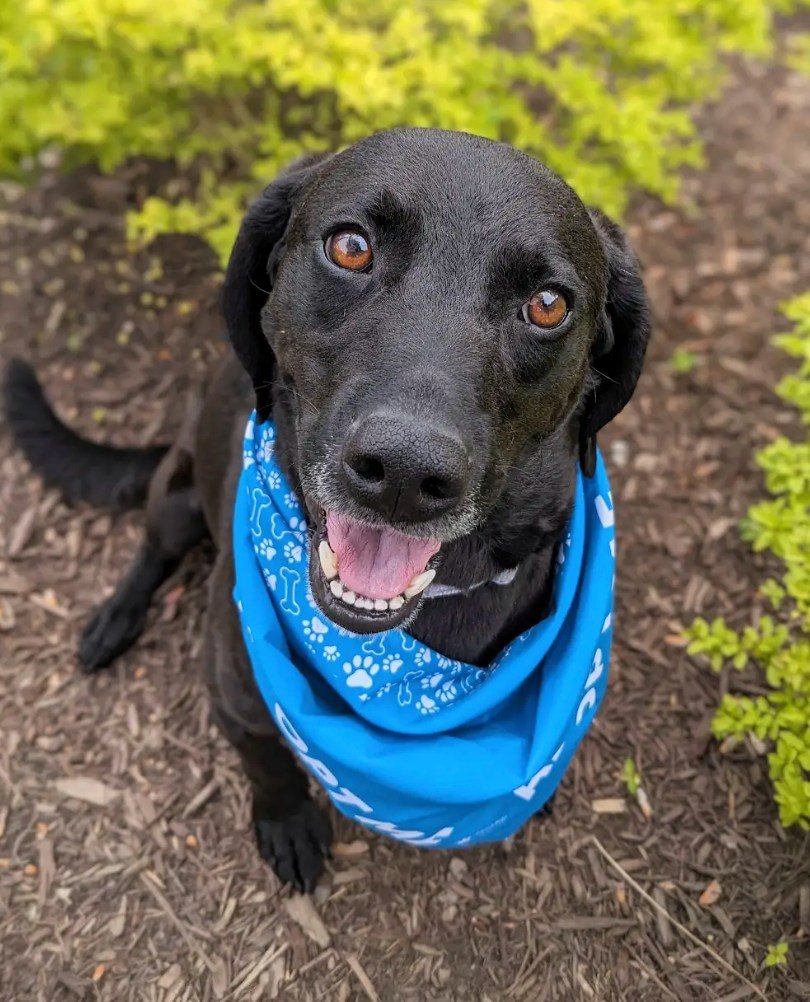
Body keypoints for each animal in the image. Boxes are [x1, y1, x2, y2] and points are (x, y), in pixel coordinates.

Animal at [3, 129, 649, 889]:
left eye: (549, 304)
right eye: (350, 247)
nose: (404, 472)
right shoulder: (238, 695)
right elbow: (267, 762)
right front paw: (287, 824)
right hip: (176, 497)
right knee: (152, 550)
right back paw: (114, 620)